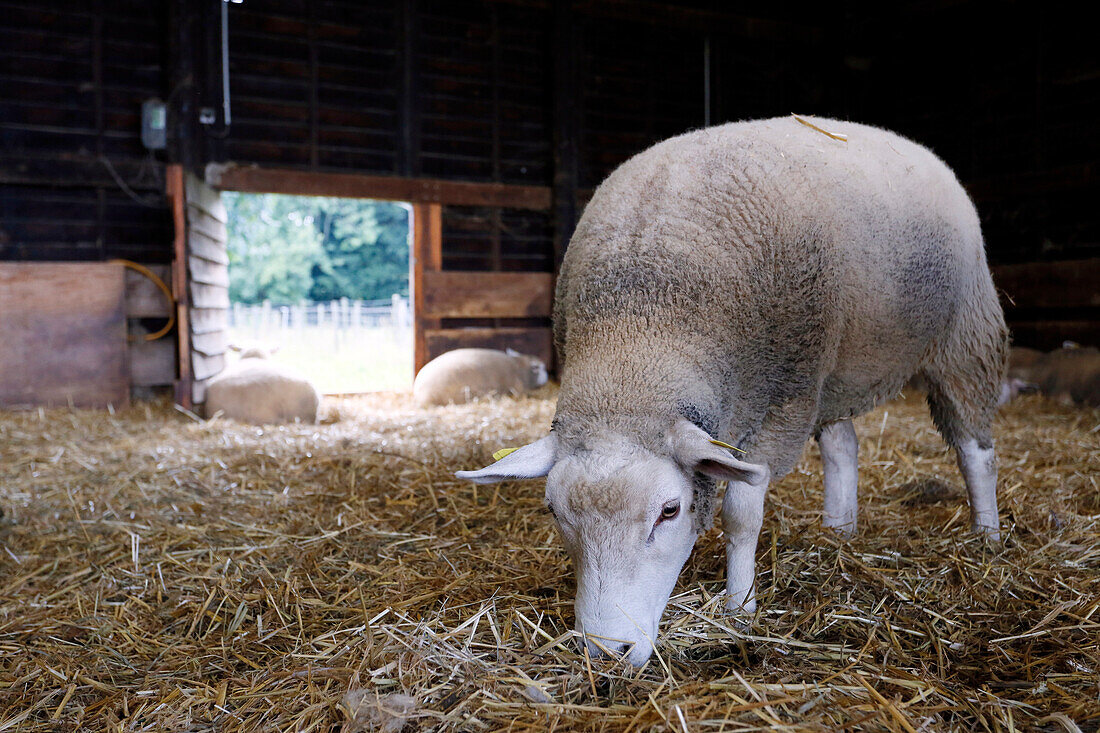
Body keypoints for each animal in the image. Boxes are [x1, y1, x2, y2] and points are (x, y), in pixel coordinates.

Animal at [453, 115, 1007, 669]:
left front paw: (740, 606)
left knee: (974, 449)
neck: (639, 327)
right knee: (842, 445)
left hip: (964, 336)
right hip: (835, 372)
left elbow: (741, 516)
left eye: (670, 511)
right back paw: (839, 530)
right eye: (554, 512)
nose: (608, 652)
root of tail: (917, 149)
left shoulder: (783, 399)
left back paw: (987, 535)